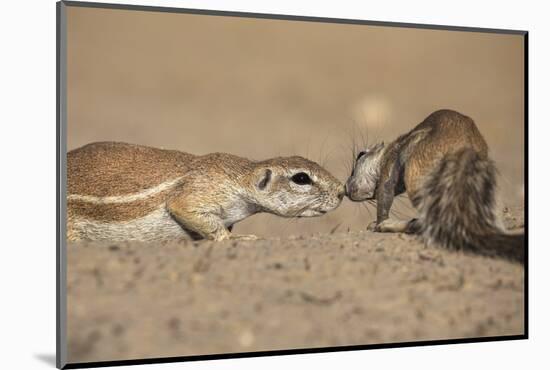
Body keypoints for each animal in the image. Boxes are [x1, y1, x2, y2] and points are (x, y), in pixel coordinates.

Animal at [67, 140, 344, 241]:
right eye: (301, 178)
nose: (342, 191)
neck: (240, 177)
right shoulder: (200, 191)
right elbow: (185, 208)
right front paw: (236, 240)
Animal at [350, 108, 528, 264]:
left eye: (360, 155)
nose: (346, 188)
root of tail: (463, 150)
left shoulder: (390, 161)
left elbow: (385, 191)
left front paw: (377, 223)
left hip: (419, 179)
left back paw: (393, 225)